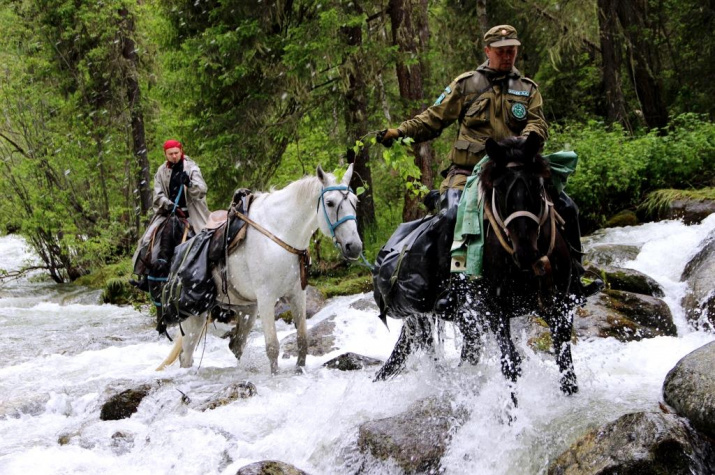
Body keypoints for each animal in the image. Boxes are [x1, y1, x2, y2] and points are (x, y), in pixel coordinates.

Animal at [161, 165, 364, 374]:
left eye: (355, 201)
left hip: (247, 310)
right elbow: (273, 347)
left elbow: (302, 340)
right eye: (330, 203)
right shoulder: (266, 297)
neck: (279, 232)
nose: (354, 246)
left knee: (236, 345)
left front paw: (299, 370)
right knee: (186, 357)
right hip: (194, 317)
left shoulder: (297, 294)